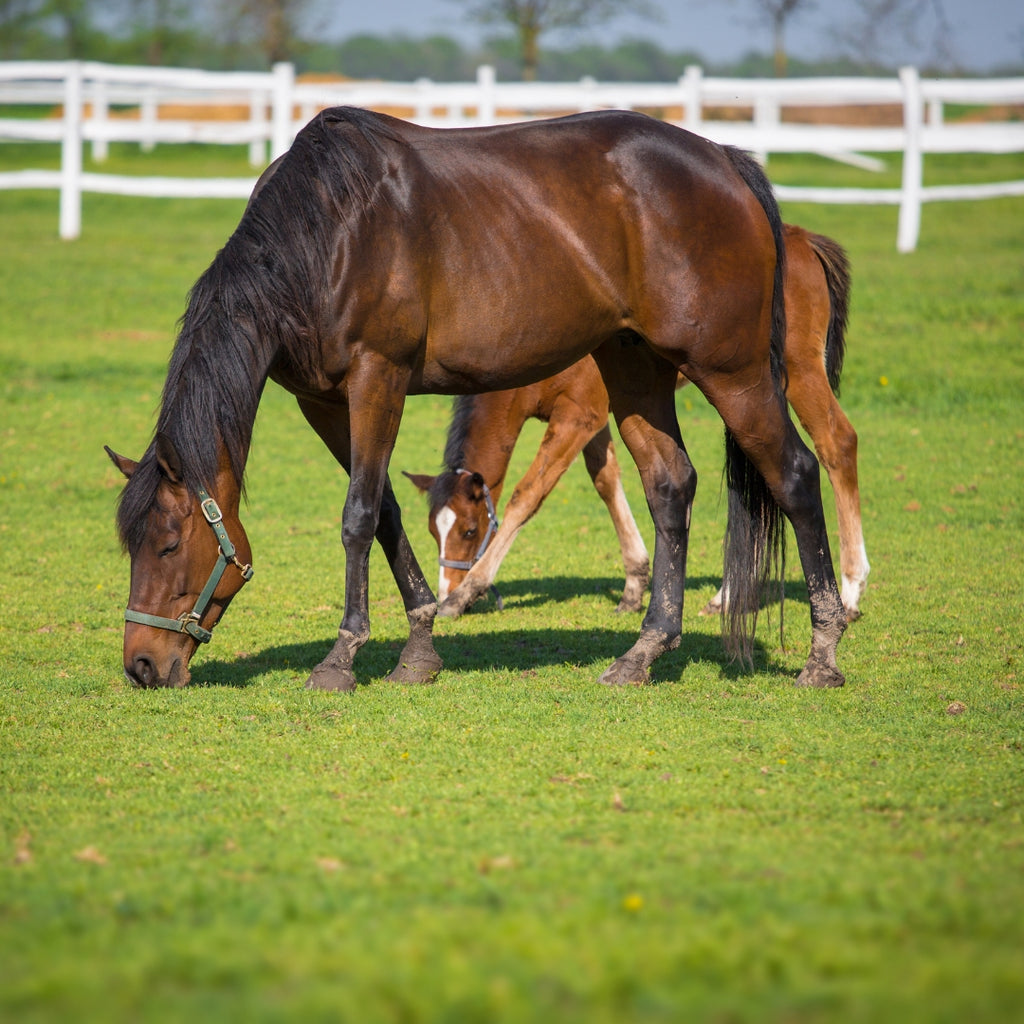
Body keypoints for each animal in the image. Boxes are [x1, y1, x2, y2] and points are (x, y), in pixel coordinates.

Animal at [403, 226, 868, 622]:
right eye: (432, 531)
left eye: (468, 529)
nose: (445, 590)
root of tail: (804, 240)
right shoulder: (594, 418)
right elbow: (605, 480)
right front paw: (634, 583)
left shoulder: (577, 415)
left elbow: (528, 494)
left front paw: (471, 589)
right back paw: (726, 596)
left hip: (795, 373)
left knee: (837, 443)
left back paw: (849, 591)